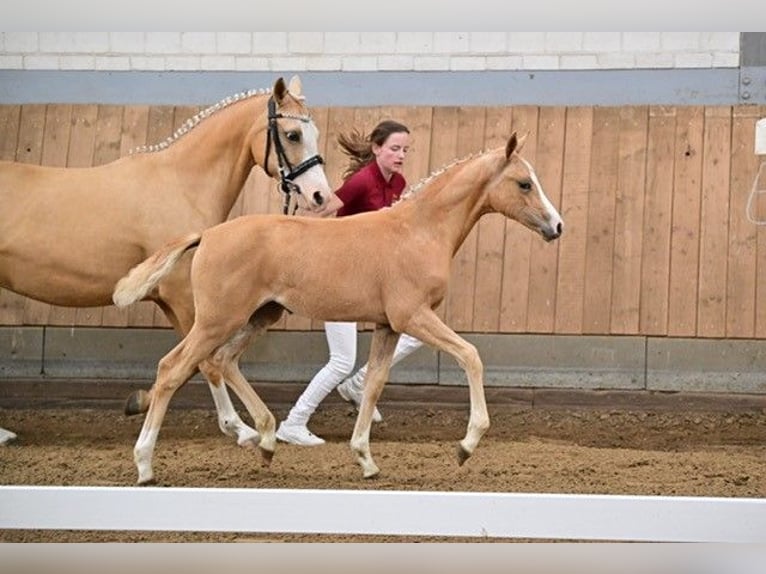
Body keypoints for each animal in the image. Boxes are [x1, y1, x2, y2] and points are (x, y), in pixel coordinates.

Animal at [0, 76, 331, 446]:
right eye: (293, 134)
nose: (321, 195)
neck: (181, 183)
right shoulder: (184, 298)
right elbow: (207, 361)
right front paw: (238, 428)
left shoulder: (172, 301)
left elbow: (194, 363)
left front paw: (139, 401)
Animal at [113, 132, 564, 485]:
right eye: (525, 183)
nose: (557, 226)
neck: (419, 230)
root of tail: (206, 234)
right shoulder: (412, 315)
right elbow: (470, 355)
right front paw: (466, 445)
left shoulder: (388, 326)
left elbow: (375, 382)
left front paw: (365, 459)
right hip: (216, 320)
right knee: (174, 368)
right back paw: (145, 464)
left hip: (260, 316)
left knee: (223, 361)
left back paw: (267, 441)